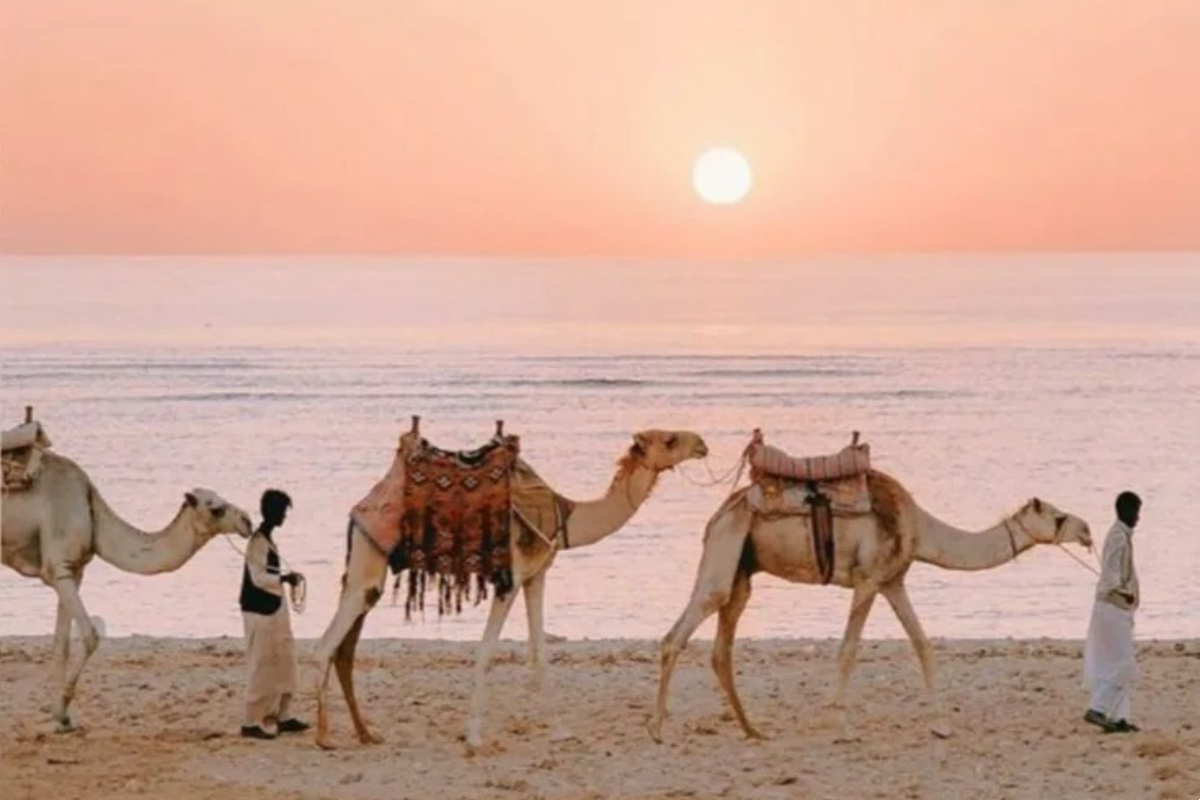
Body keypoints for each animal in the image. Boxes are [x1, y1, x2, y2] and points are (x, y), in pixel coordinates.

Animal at [1, 416, 254, 731]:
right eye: (216, 508)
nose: (247, 521)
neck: (91, 512)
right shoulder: (56, 566)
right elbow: (90, 635)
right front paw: (61, 712)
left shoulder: (73, 570)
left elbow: (61, 644)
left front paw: (61, 717)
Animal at [311, 423, 709, 751]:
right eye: (669, 440)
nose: (702, 444)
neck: (567, 515)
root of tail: (360, 507)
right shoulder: (511, 578)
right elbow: (486, 653)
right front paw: (474, 738)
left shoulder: (537, 575)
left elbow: (539, 653)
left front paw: (560, 731)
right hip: (369, 558)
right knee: (325, 645)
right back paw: (325, 737)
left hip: (371, 569)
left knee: (346, 646)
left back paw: (366, 733)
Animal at [646, 434, 1093, 744]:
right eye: (1058, 516)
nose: (1087, 530)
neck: (919, 527)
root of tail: (719, 513)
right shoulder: (868, 579)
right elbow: (849, 650)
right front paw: (840, 725)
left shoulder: (893, 580)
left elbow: (922, 644)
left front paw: (941, 724)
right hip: (726, 551)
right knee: (680, 631)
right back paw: (659, 730)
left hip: (742, 568)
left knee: (722, 647)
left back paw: (752, 729)